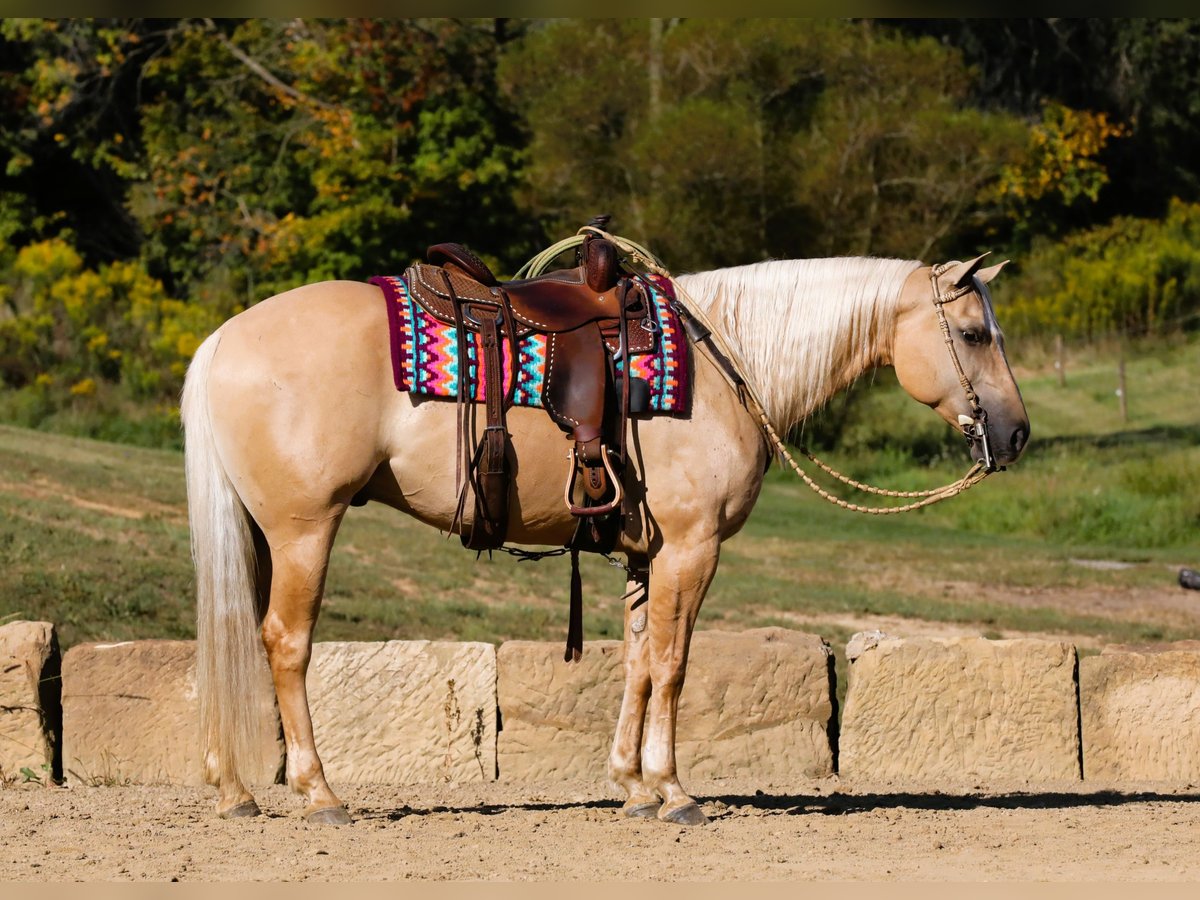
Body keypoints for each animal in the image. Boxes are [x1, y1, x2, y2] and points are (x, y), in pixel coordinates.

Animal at [180, 250, 1032, 830]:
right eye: (972, 332)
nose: (1016, 433)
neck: (729, 363)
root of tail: (223, 338)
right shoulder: (692, 548)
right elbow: (674, 665)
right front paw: (673, 790)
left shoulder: (646, 554)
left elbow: (637, 662)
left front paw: (630, 783)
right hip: (304, 530)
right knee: (285, 642)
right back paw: (319, 792)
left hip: (262, 533)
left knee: (232, 634)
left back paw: (234, 789)